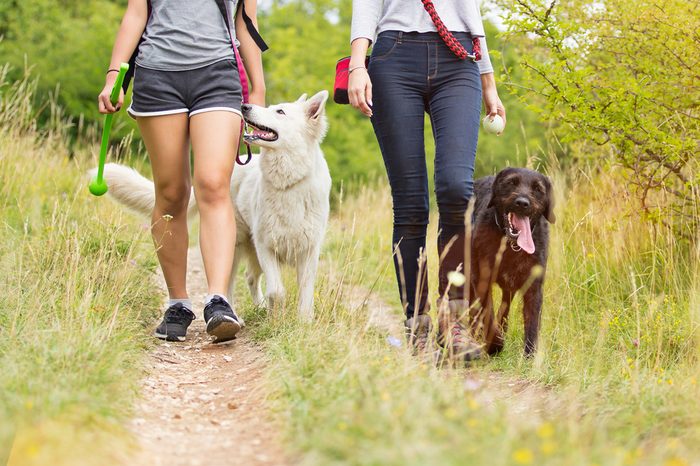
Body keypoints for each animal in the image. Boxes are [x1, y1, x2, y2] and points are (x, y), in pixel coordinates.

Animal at [96, 89, 334, 322]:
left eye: (280, 112)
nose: (244, 106)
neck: (289, 182)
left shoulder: (309, 250)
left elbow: (305, 291)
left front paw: (304, 322)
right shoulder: (266, 246)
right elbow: (276, 291)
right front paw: (276, 320)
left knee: (250, 277)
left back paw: (258, 308)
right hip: (236, 244)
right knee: (230, 281)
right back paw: (233, 314)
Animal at [470, 168, 556, 356]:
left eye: (538, 189)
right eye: (511, 183)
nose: (522, 203)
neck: (512, 246)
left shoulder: (534, 287)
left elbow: (532, 322)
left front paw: (530, 355)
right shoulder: (482, 280)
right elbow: (487, 314)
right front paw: (495, 344)